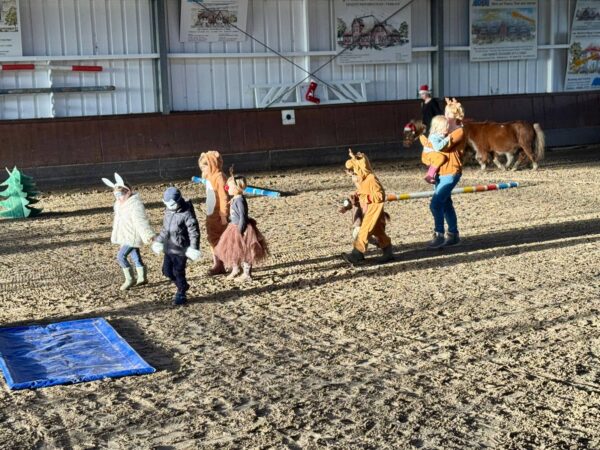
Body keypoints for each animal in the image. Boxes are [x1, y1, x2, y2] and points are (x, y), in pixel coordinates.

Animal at [402, 118, 545, 171]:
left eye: (409, 133)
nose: (405, 143)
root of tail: (531, 125)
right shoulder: (487, 149)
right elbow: (493, 159)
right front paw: (502, 167)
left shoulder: (481, 148)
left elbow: (480, 158)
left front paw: (482, 168)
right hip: (520, 147)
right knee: (522, 156)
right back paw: (513, 167)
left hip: (525, 145)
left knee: (530, 155)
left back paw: (534, 167)